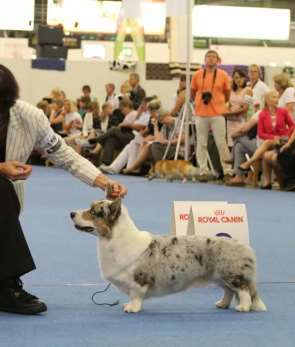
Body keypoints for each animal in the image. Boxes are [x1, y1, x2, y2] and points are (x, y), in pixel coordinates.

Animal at [70, 198, 268, 316]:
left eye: (93, 212)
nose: (71, 213)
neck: (115, 238)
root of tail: (246, 248)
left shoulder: (139, 280)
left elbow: (136, 295)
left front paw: (132, 308)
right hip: (220, 277)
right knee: (229, 291)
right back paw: (222, 304)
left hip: (232, 275)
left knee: (242, 291)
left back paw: (243, 307)